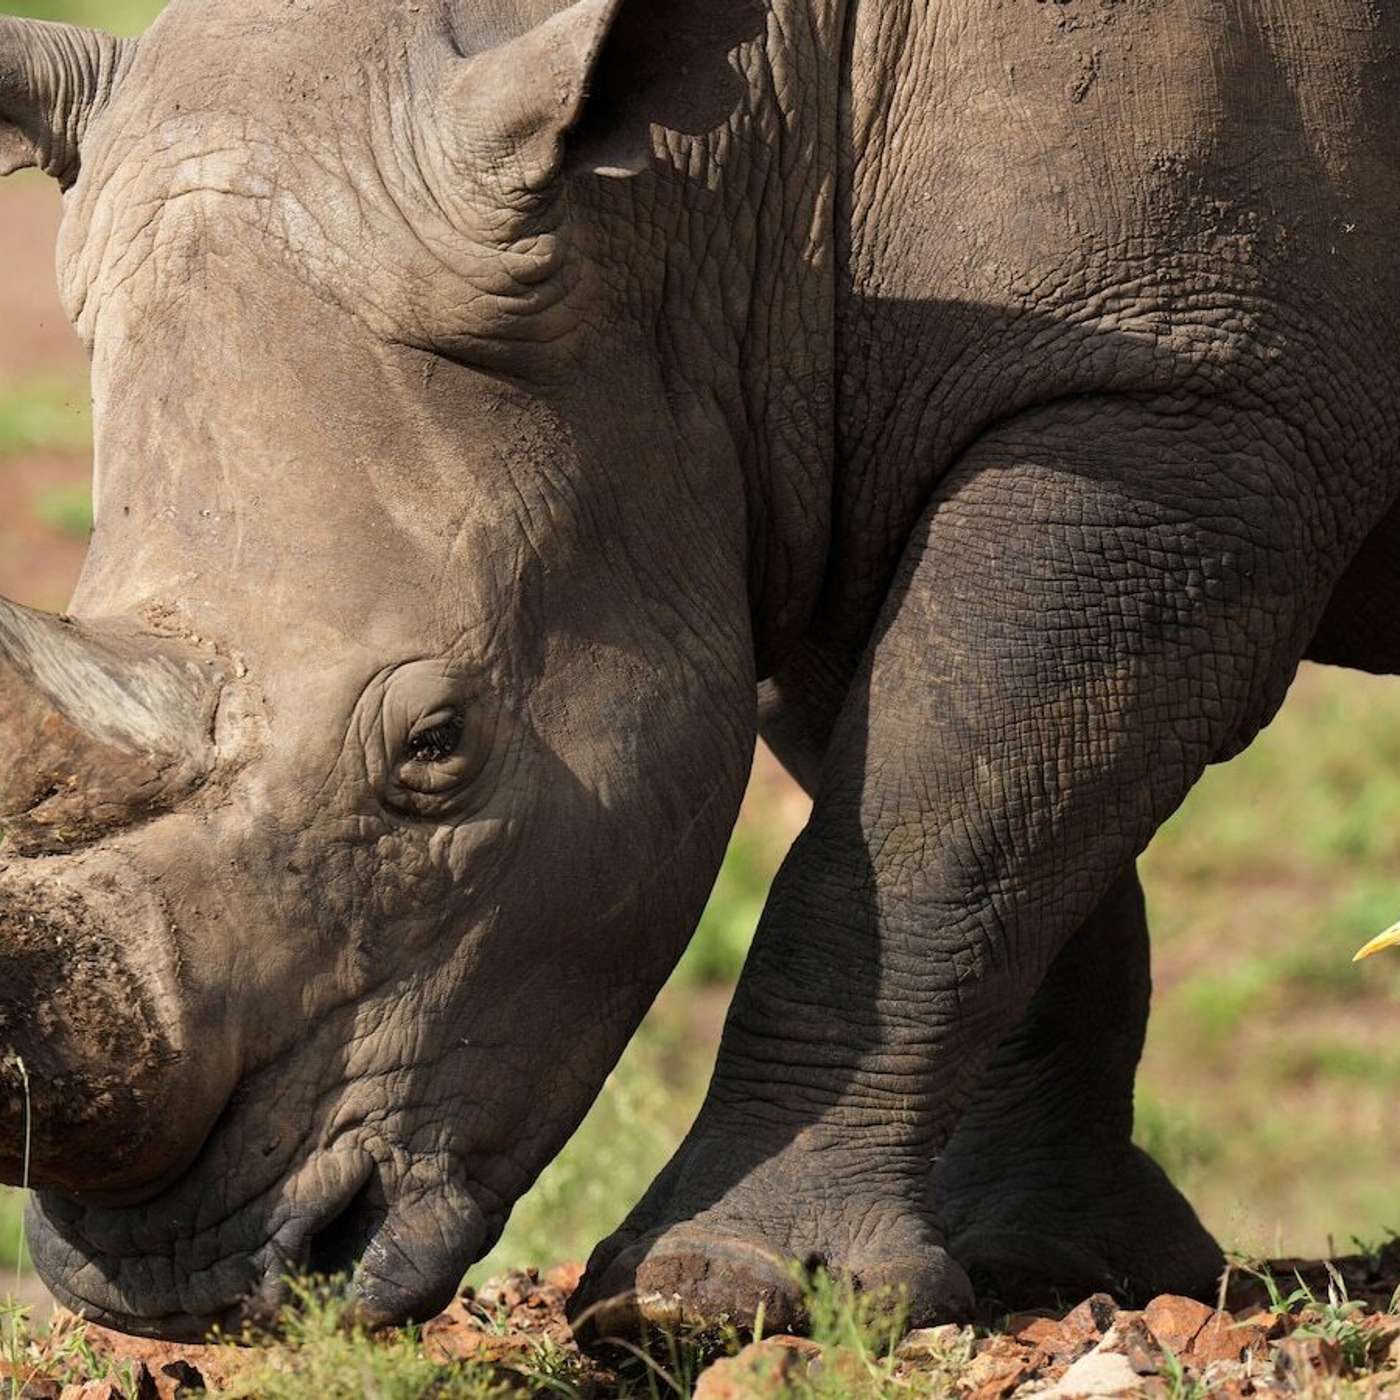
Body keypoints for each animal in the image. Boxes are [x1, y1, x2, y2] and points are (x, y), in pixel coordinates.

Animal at [1, 0, 1397, 1342]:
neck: (696, 188)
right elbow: (996, 826)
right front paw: (1040, 1259)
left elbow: (932, 822)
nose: (169, 1286)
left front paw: (715, 1294)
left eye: (438, 743)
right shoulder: (813, 446)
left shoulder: (1172, 403)